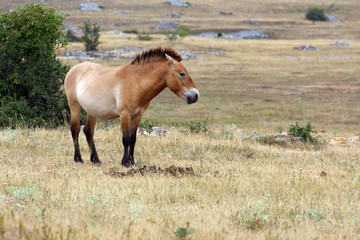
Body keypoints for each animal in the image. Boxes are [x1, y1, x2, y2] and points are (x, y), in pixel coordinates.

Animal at [64, 47, 200, 167]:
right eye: (182, 74)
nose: (195, 95)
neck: (136, 82)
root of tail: (73, 69)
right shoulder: (125, 114)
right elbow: (126, 139)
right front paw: (125, 163)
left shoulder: (137, 116)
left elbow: (133, 139)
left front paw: (132, 161)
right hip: (75, 106)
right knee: (75, 129)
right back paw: (78, 158)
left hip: (92, 111)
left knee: (88, 131)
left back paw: (96, 159)